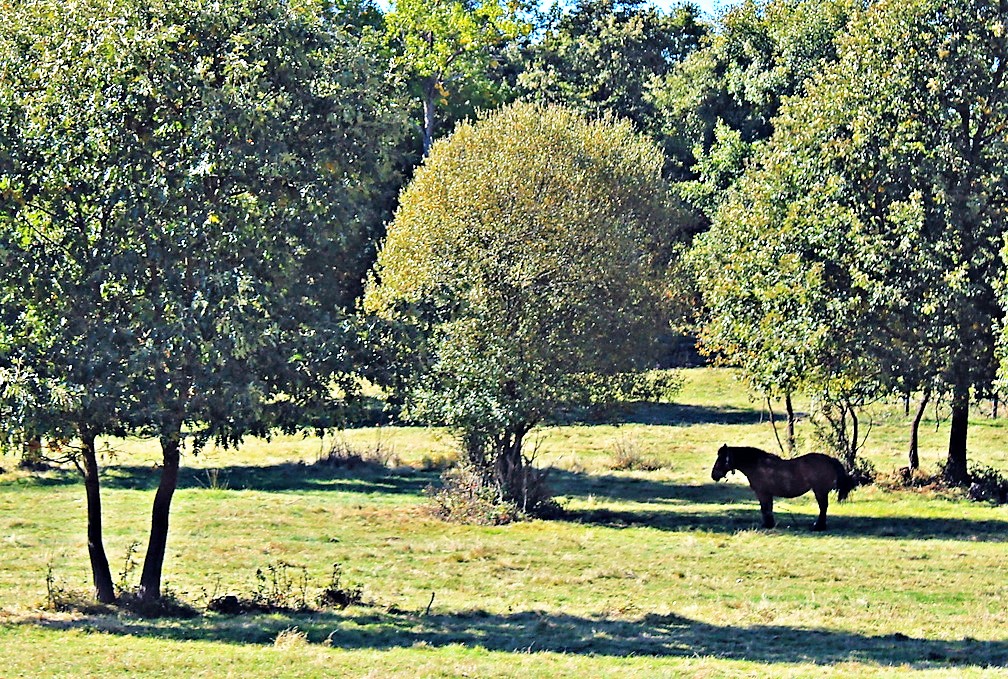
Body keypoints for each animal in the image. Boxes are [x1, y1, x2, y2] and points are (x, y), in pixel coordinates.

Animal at [713, 441, 854, 531]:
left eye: (721, 459)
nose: (714, 475)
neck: (757, 465)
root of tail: (830, 460)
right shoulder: (767, 494)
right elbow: (768, 509)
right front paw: (769, 523)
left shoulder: (762, 493)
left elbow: (765, 509)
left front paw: (767, 524)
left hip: (820, 491)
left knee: (823, 508)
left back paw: (818, 527)